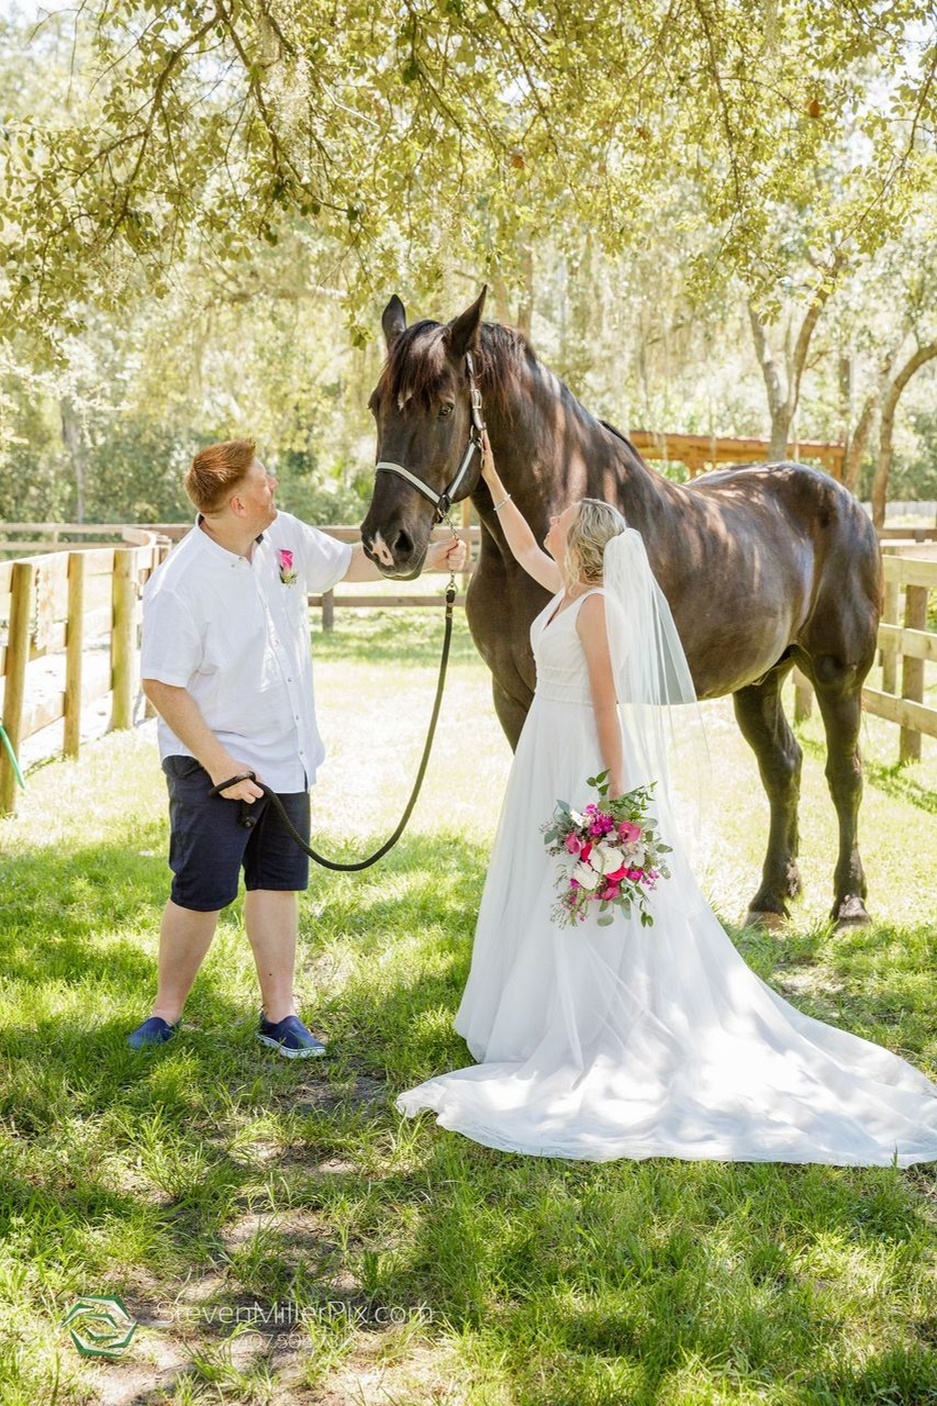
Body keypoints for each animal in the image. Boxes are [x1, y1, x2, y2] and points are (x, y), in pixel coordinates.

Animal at [357, 286, 877, 927]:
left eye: (445, 409)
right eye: (377, 408)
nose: (388, 542)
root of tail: (846, 500)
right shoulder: (512, 695)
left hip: (839, 676)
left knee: (844, 776)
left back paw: (850, 903)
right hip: (760, 680)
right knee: (783, 768)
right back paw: (772, 897)